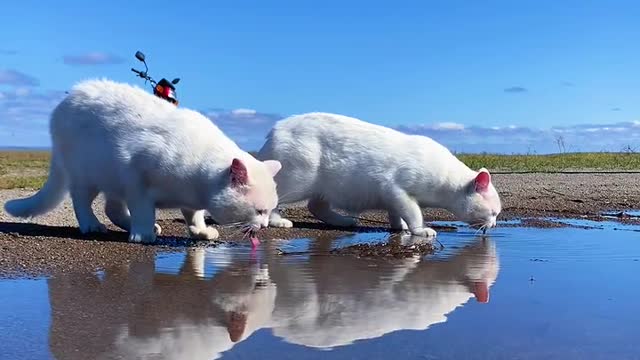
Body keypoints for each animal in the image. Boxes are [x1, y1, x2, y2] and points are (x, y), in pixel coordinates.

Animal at [3, 77, 282, 243]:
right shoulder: (136, 174)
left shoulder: (190, 197)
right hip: (87, 174)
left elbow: (194, 214)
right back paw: (94, 225)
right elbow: (143, 208)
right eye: (259, 211)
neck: (198, 184)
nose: (265, 225)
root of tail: (64, 102)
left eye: (269, 211)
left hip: (110, 177)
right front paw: (143, 233)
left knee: (112, 208)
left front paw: (200, 231)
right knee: (82, 201)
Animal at [255, 112, 500, 236]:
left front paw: (399, 227)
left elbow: (397, 213)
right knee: (277, 198)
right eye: (494, 213)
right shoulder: (397, 188)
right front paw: (419, 230)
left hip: (324, 186)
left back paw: (343, 221)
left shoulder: (393, 196)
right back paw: (277, 221)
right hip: (299, 178)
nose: (495, 224)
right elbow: (413, 213)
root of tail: (274, 130)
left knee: (316, 206)